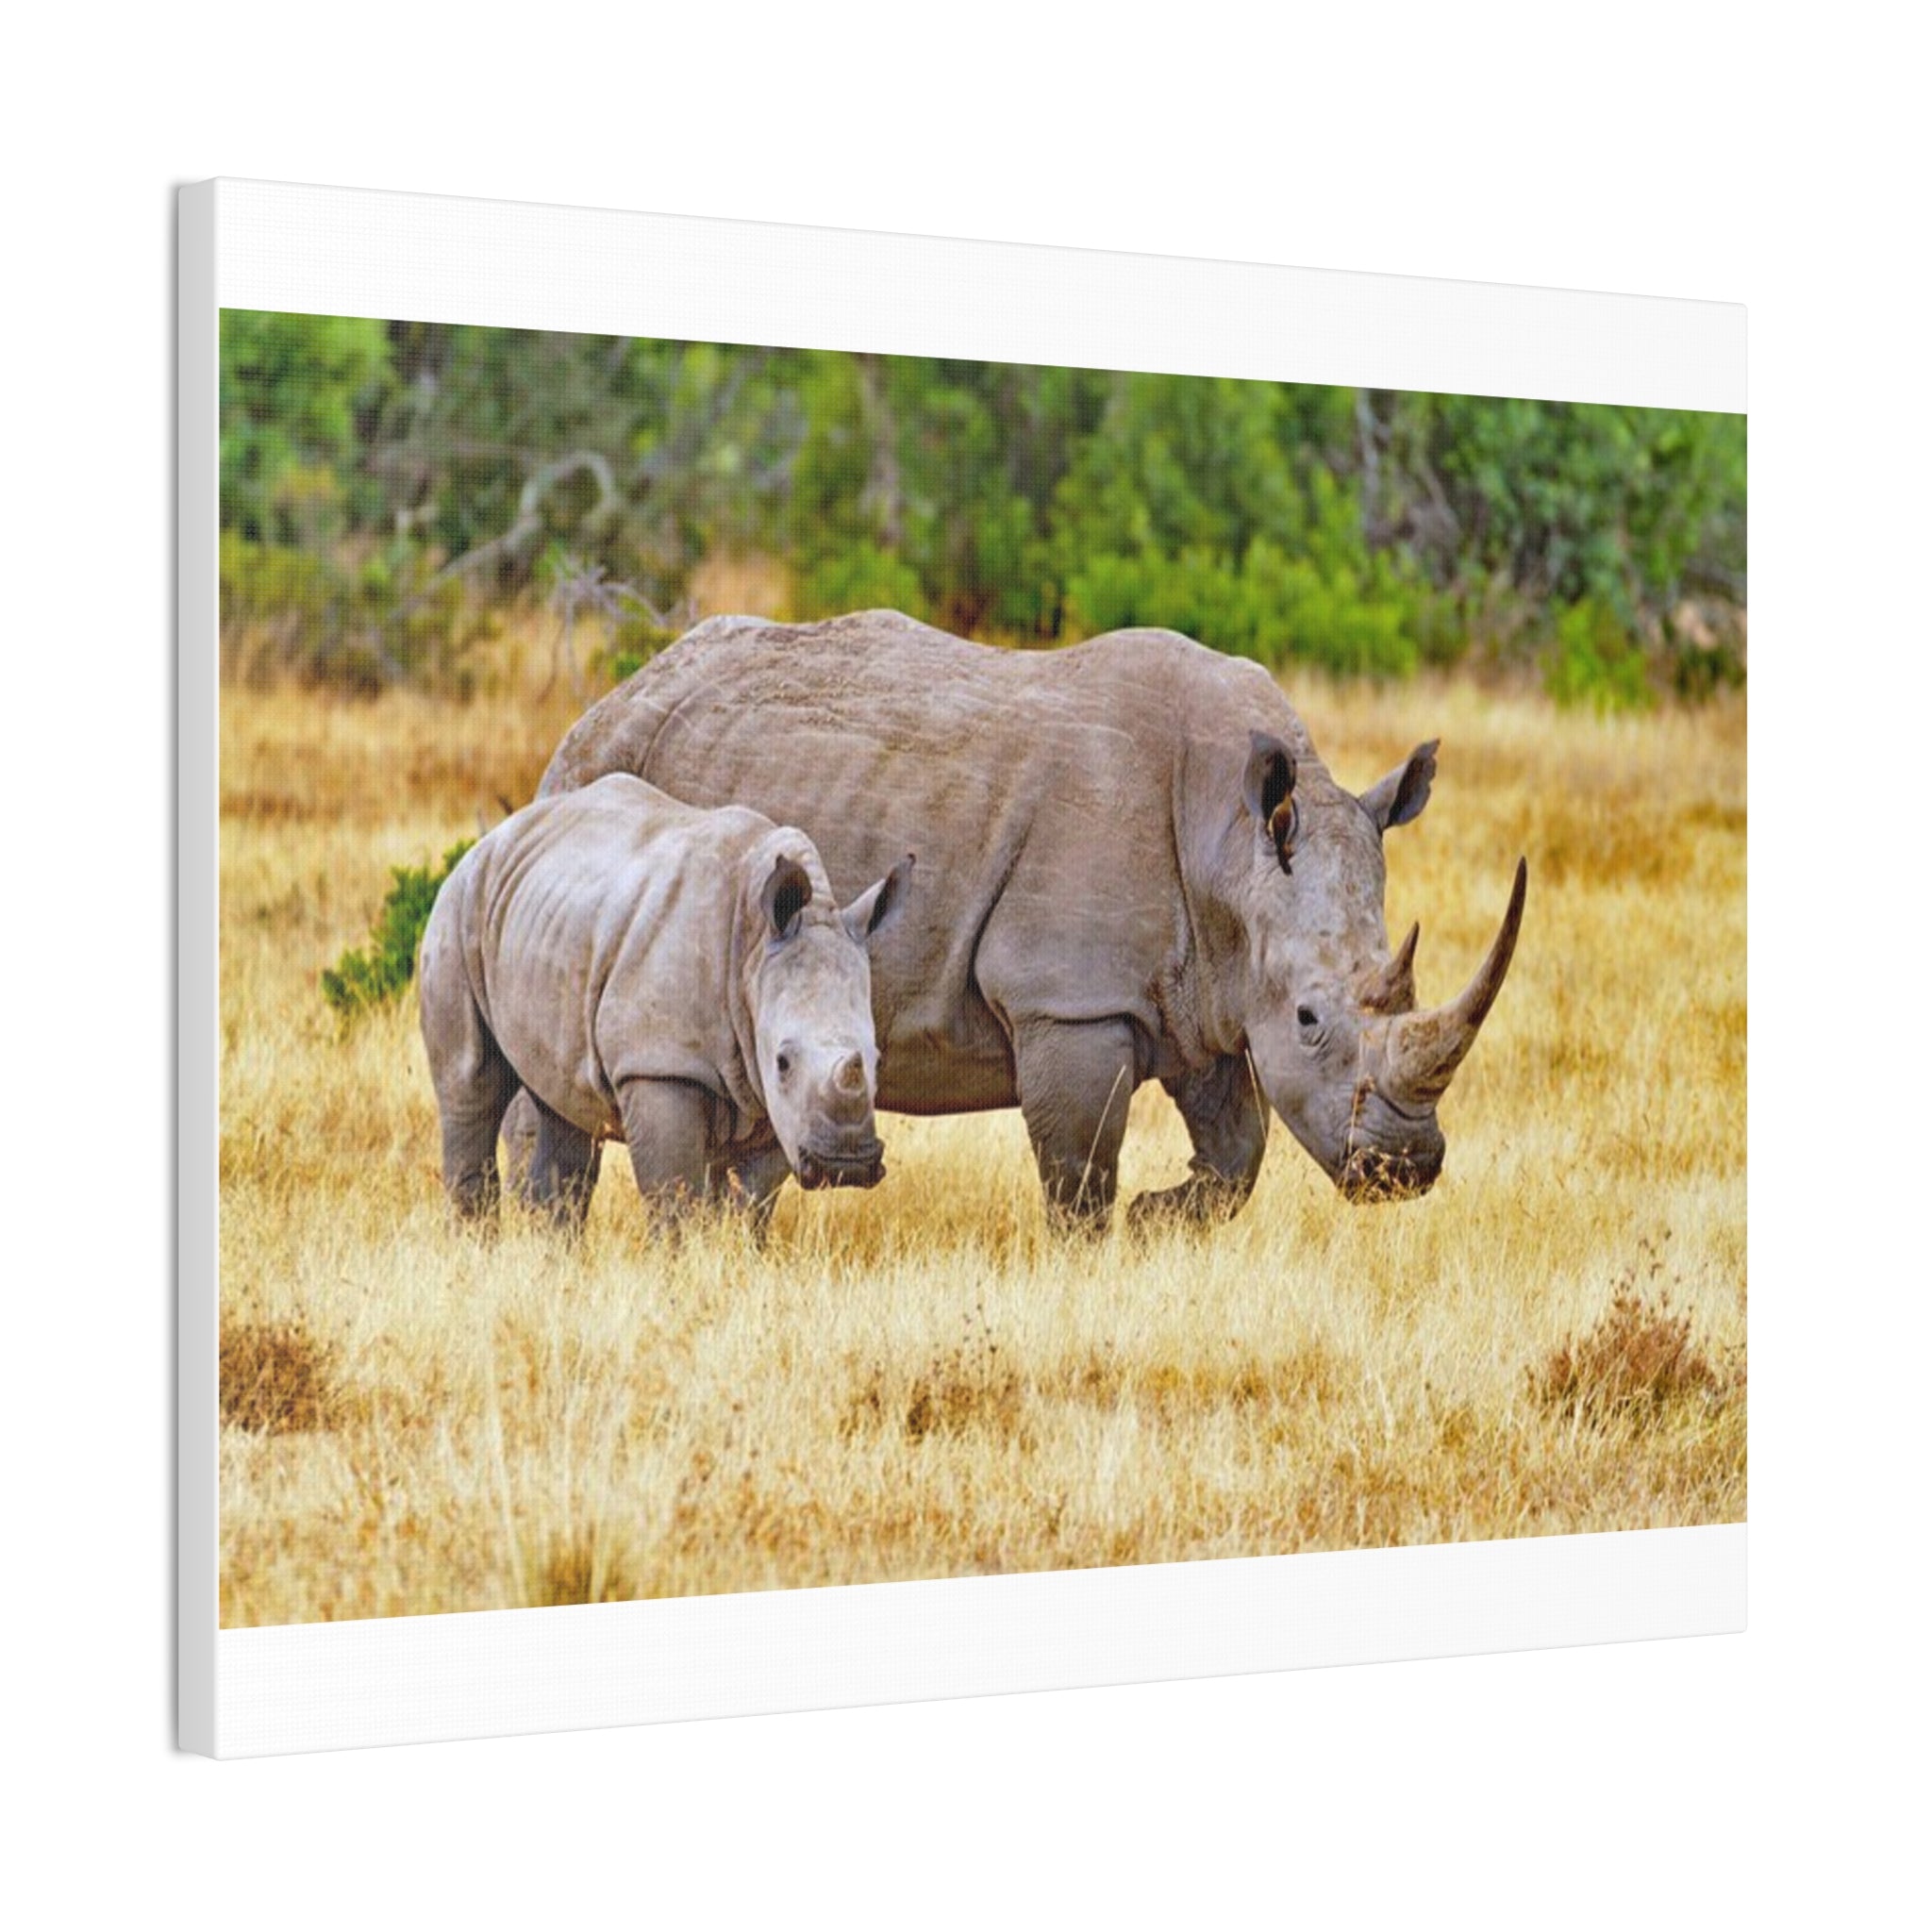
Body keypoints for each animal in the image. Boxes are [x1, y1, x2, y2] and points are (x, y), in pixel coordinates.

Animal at [420, 771, 912, 1233]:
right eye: (783, 1062)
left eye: (876, 1059)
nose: (845, 1166)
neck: (753, 949)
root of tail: (495, 837)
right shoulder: (659, 1063)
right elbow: (673, 1195)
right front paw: (677, 1259)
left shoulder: (774, 1099)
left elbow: (751, 1202)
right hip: (458, 906)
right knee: (471, 1085)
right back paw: (476, 1244)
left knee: (563, 1104)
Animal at [517, 610, 1525, 1232]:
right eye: (1312, 1019)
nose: (1406, 1168)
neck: (1231, 847)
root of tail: (606, 701)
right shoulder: (1071, 1000)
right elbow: (1079, 1172)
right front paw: (1103, 1250)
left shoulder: (1203, 991)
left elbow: (1238, 1152)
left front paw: (1159, 1219)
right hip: (594, 779)